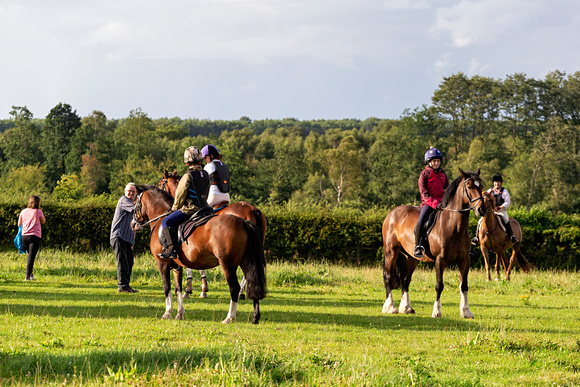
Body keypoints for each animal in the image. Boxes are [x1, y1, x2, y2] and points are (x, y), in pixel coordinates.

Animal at [130, 185, 266, 324]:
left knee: (234, 288)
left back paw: (229, 317)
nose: (133, 225)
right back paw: (255, 317)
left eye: (135, 203)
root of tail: (244, 221)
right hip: (246, 262)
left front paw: (167, 313)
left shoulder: (162, 263)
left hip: (228, 264)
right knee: (253, 282)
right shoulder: (177, 266)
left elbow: (167, 287)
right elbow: (178, 288)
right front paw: (180, 313)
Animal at [382, 169, 488, 318]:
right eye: (469, 186)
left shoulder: (464, 260)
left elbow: (464, 285)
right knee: (388, 277)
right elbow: (439, 285)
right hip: (391, 252)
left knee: (405, 279)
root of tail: (392, 212)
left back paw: (407, 308)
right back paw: (390, 307)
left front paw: (466, 311)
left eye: (481, 186)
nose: (482, 210)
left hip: (411, 258)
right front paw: (437, 311)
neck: (454, 226)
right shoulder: (439, 260)